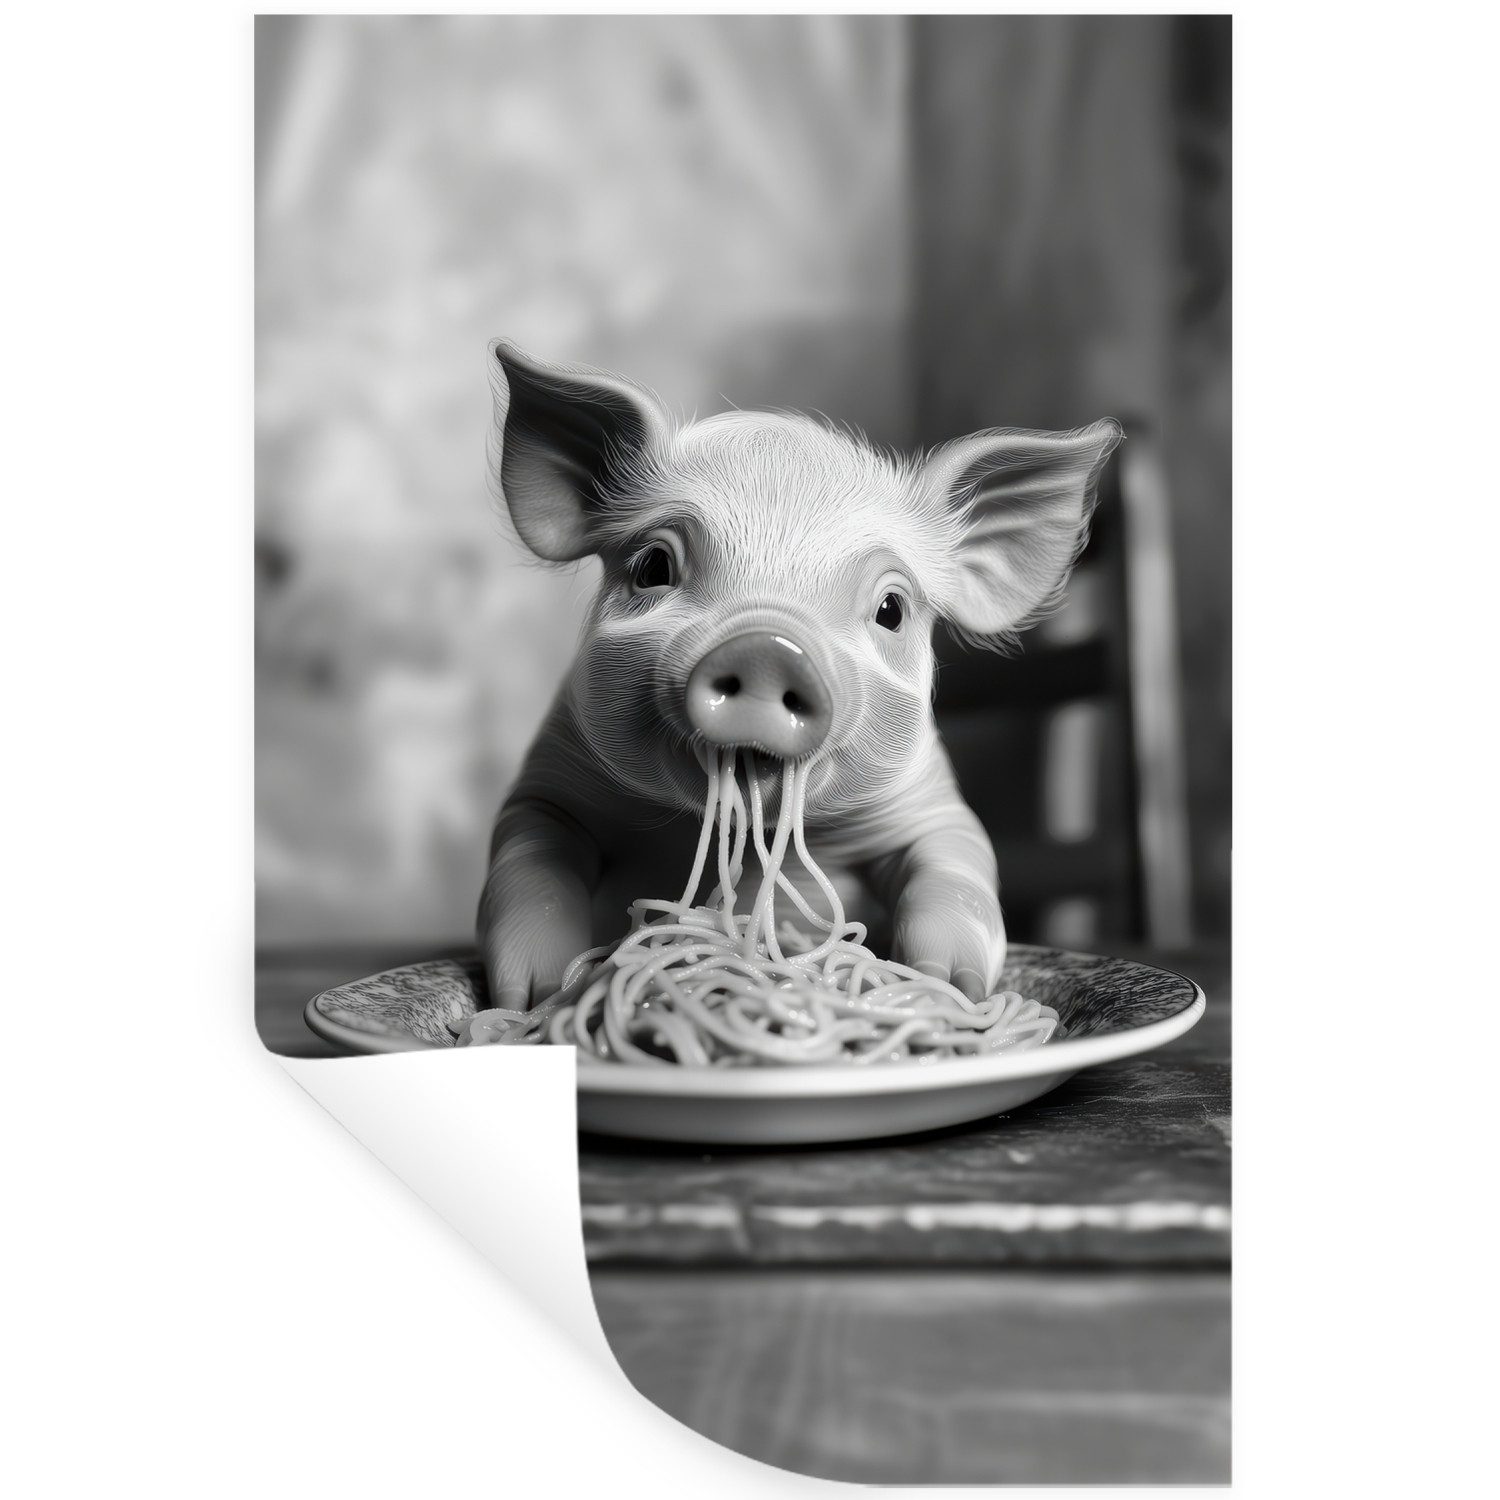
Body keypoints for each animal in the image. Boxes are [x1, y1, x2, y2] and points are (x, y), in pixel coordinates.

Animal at [478, 338, 1120, 1012]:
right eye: (653, 566)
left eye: (891, 609)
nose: (767, 648)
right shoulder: (554, 780)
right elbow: (531, 865)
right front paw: (535, 998)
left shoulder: (924, 799)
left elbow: (954, 862)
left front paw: (949, 989)